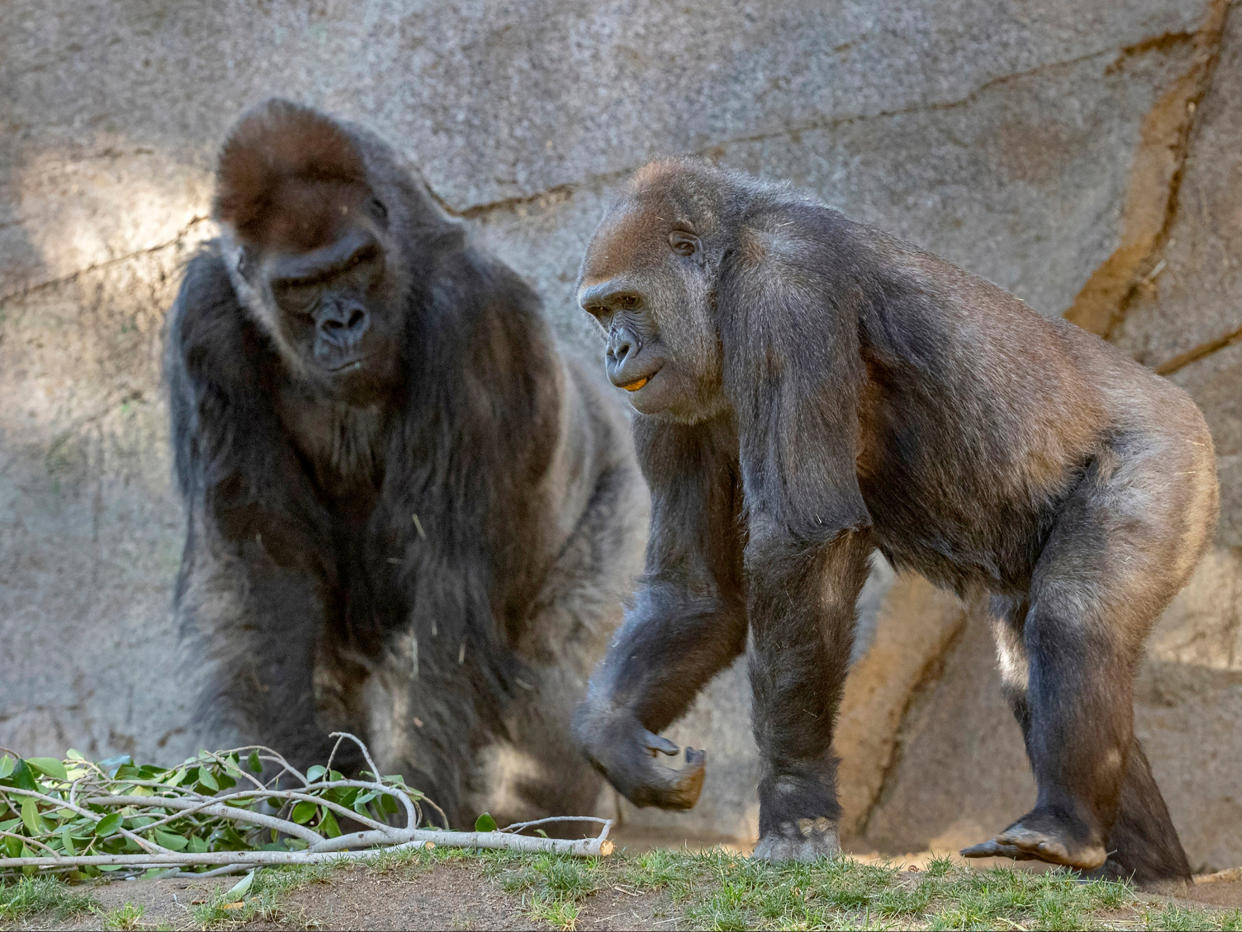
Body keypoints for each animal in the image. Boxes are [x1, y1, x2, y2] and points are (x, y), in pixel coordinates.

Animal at [163, 101, 645, 830]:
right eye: (300, 286)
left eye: (358, 263)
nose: (343, 322)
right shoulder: (206, 318)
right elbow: (267, 576)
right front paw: (292, 790)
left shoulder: (473, 317)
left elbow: (446, 600)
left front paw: (407, 805)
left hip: (620, 507)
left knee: (551, 710)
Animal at [571, 159, 1222, 884]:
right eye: (601, 313)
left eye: (627, 304)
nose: (617, 350)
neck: (727, 261)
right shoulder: (664, 403)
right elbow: (697, 592)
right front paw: (613, 733)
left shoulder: (785, 291)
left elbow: (802, 541)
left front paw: (796, 798)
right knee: (1030, 655)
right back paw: (1143, 862)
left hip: (1170, 455)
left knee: (1074, 614)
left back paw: (1068, 825)